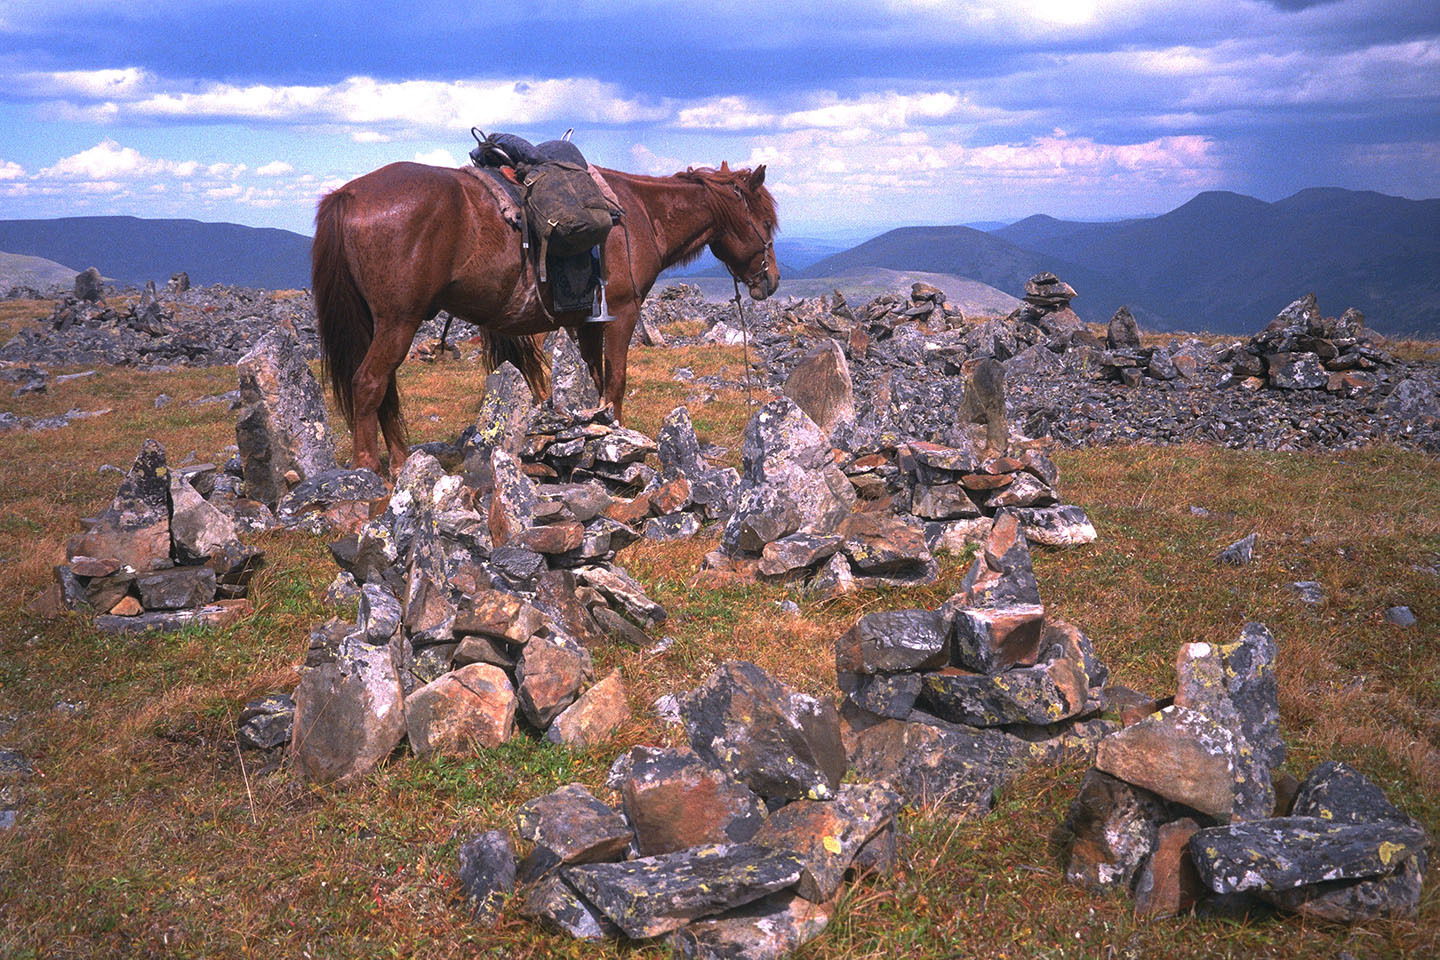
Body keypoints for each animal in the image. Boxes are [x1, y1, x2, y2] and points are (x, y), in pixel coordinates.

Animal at [312, 162, 777, 477]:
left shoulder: (587, 321)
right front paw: (621, 441)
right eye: (766, 221)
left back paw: (402, 462)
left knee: (384, 388)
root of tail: (347, 196)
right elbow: (616, 380)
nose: (770, 280)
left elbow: (595, 377)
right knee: (369, 383)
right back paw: (370, 472)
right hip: (398, 322)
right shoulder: (622, 313)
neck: (639, 214)